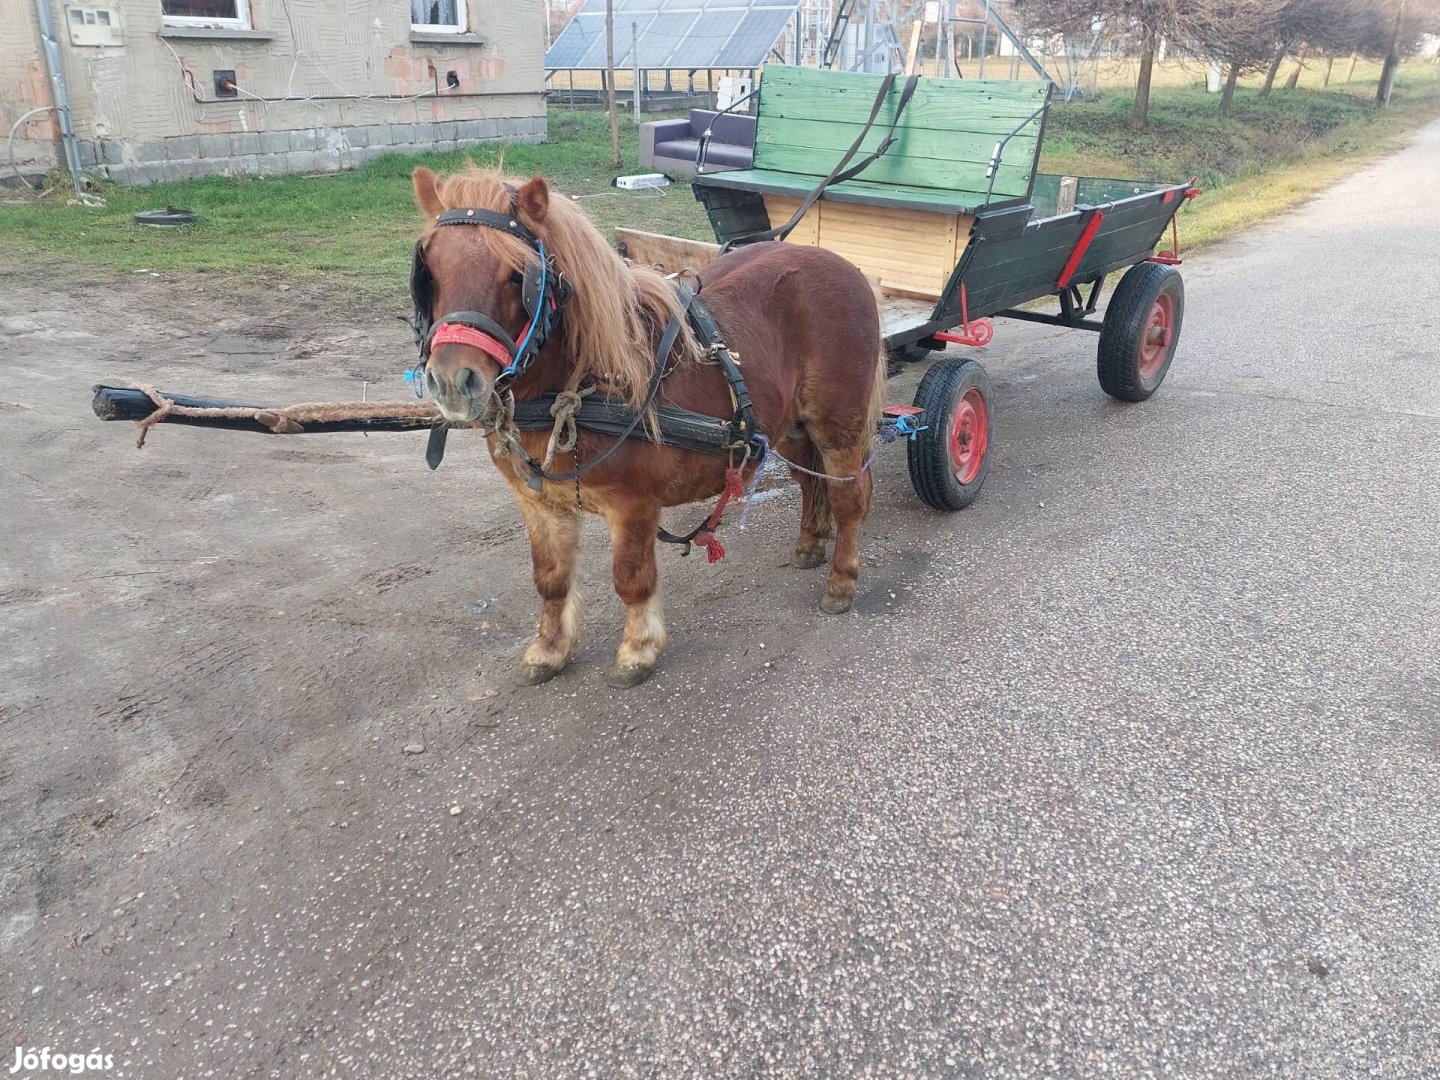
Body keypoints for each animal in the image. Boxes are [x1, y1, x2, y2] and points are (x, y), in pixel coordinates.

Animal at [411, 167, 887, 694]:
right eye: (429, 271)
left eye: (518, 275)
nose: (452, 381)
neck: (581, 385)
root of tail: (849, 267)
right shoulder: (537, 503)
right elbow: (550, 578)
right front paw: (550, 648)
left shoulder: (632, 504)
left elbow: (630, 577)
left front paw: (638, 650)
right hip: (792, 427)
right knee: (809, 480)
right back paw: (810, 543)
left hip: (838, 427)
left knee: (848, 498)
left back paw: (841, 580)